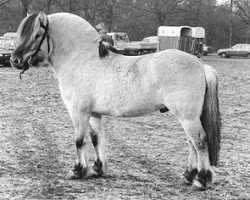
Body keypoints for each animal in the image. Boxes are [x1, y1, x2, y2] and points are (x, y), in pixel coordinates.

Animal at [10, 12, 221, 191]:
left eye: (37, 35)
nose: (15, 60)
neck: (82, 60)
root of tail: (200, 64)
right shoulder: (94, 114)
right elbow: (96, 139)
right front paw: (98, 168)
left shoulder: (78, 112)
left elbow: (80, 141)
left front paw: (78, 170)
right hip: (188, 117)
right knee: (192, 143)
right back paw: (188, 175)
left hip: (188, 117)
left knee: (199, 141)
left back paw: (201, 180)